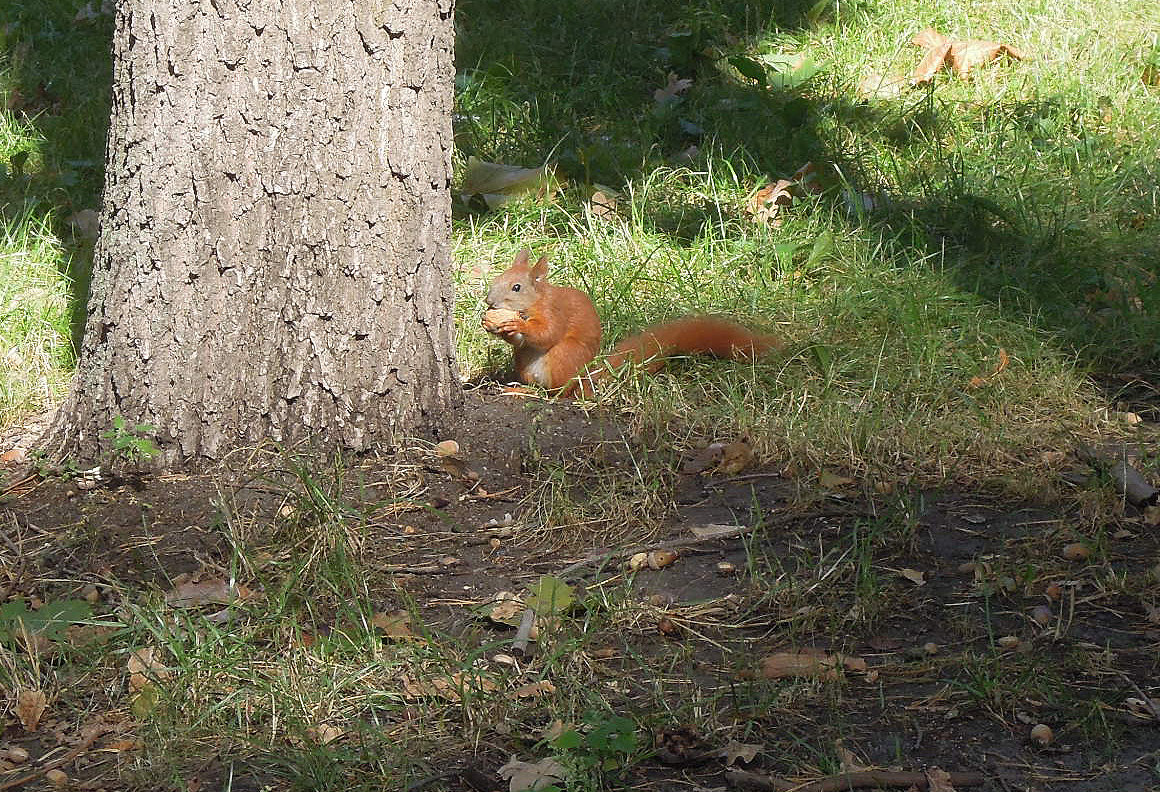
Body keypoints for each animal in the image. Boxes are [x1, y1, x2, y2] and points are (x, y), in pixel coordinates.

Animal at [480, 248, 779, 396]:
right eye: (496, 278)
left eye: (516, 287)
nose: (489, 302)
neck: (536, 301)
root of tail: (584, 380)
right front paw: (495, 325)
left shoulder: (556, 311)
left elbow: (548, 333)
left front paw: (516, 324)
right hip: (526, 365)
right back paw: (520, 388)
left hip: (564, 358)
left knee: (557, 393)